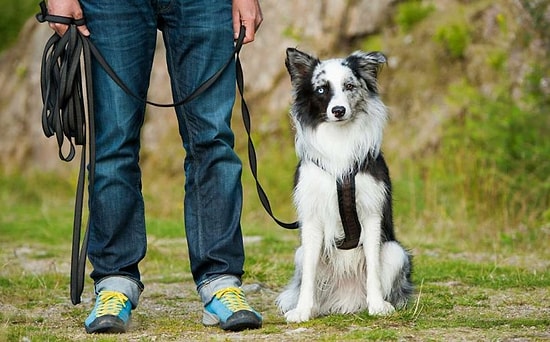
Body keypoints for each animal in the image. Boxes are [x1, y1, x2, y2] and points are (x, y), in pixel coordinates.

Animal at [276, 48, 414, 324]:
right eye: (321, 89)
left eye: (349, 86)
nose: (338, 110)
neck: (338, 139)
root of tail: (346, 299)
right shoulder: (312, 217)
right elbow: (309, 276)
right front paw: (302, 310)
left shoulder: (371, 214)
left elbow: (373, 267)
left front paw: (377, 306)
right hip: (300, 253)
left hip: (396, 252)